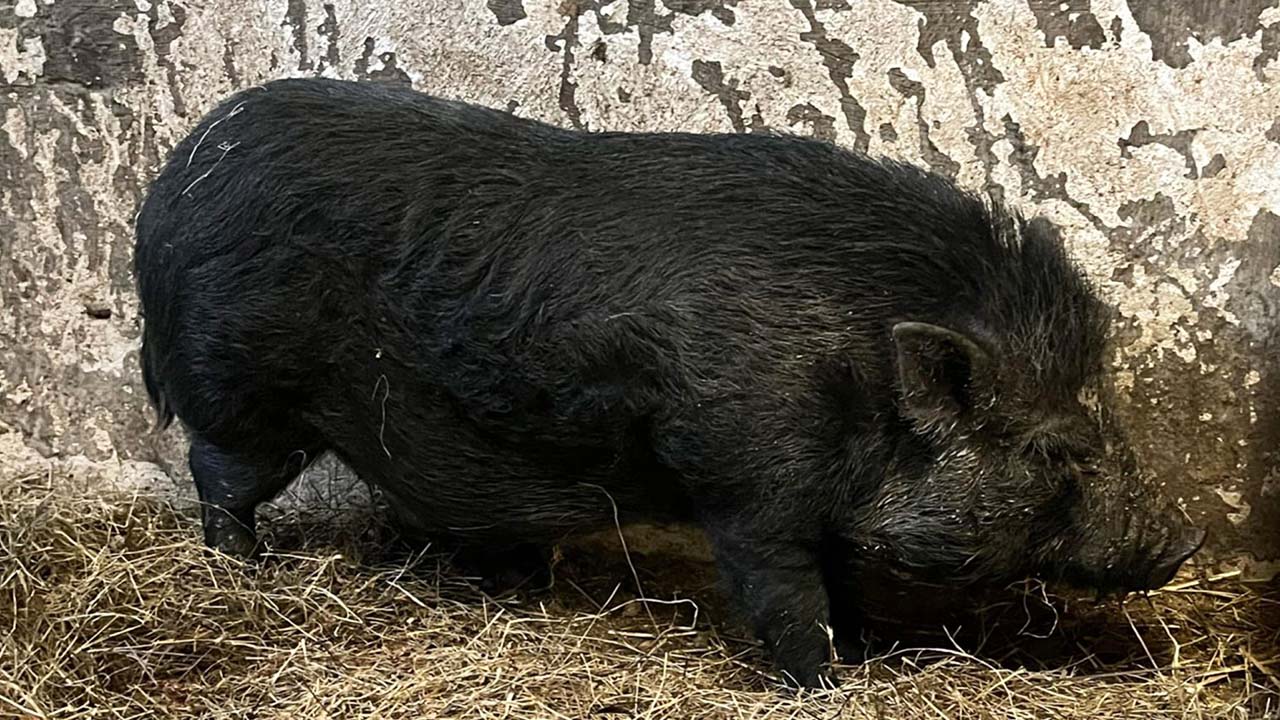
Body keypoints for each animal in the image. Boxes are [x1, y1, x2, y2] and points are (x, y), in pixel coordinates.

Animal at [133, 77, 1205, 688]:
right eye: (1059, 447)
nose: (1188, 535)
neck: (855, 378)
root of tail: (170, 185)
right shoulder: (747, 480)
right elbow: (785, 594)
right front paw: (829, 684)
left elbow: (842, 579)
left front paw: (865, 652)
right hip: (242, 390)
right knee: (218, 475)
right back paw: (244, 570)